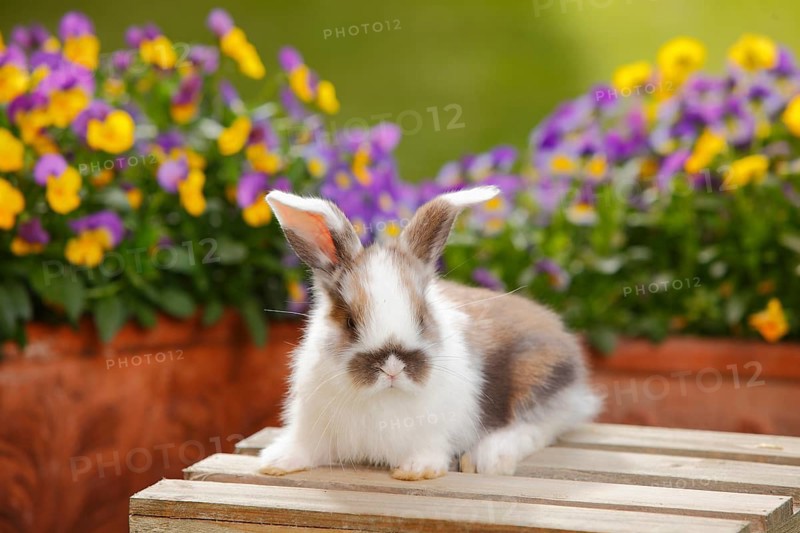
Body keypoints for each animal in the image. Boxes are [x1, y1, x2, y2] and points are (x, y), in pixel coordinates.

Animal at [258, 186, 602, 481]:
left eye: (423, 318)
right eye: (350, 323)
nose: (392, 367)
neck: (383, 398)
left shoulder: (435, 433)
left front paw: (416, 470)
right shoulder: (313, 428)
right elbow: (303, 448)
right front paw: (275, 463)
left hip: (538, 376)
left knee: (537, 426)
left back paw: (488, 458)